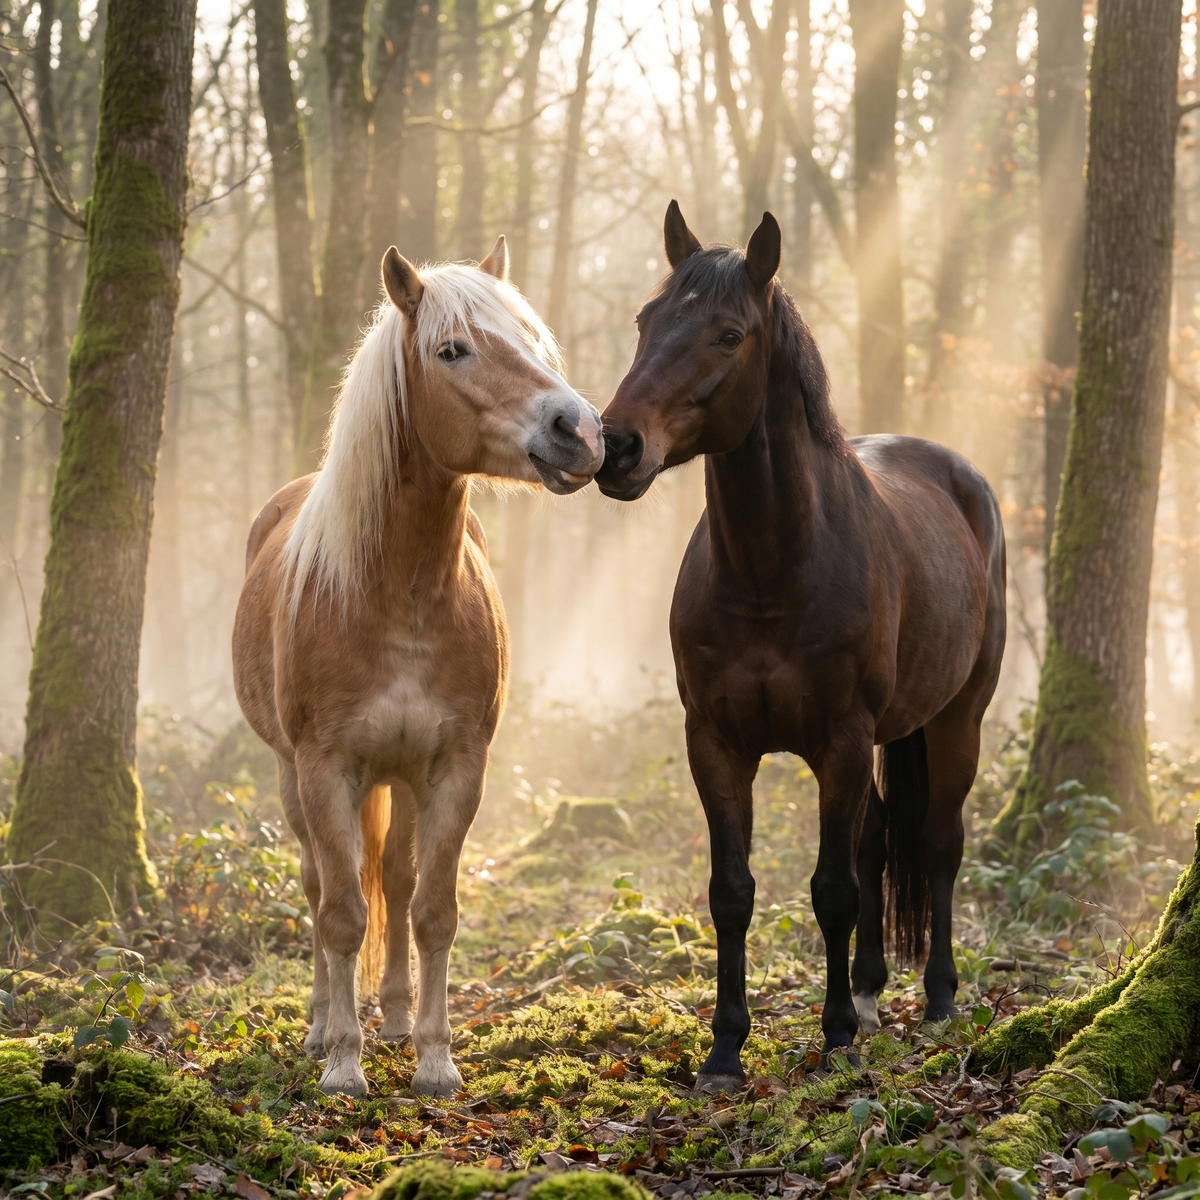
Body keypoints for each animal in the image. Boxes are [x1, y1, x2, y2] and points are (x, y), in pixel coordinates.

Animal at [232, 239, 604, 1096]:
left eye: (531, 337)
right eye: (452, 349)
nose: (580, 429)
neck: (397, 594)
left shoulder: (455, 767)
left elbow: (432, 909)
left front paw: (434, 1057)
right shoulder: (326, 768)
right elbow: (340, 914)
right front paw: (343, 1063)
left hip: (401, 777)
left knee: (395, 883)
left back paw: (396, 1019)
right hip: (293, 775)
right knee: (319, 886)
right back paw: (320, 1026)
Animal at [595, 203, 1006, 1092]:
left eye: (728, 335)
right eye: (646, 320)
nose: (616, 448)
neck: (769, 575)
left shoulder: (841, 741)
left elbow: (832, 890)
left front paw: (835, 1037)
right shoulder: (716, 744)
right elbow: (733, 890)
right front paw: (725, 1049)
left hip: (956, 719)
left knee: (938, 844)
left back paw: (937, 998)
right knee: (882, 839)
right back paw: (872, 993)